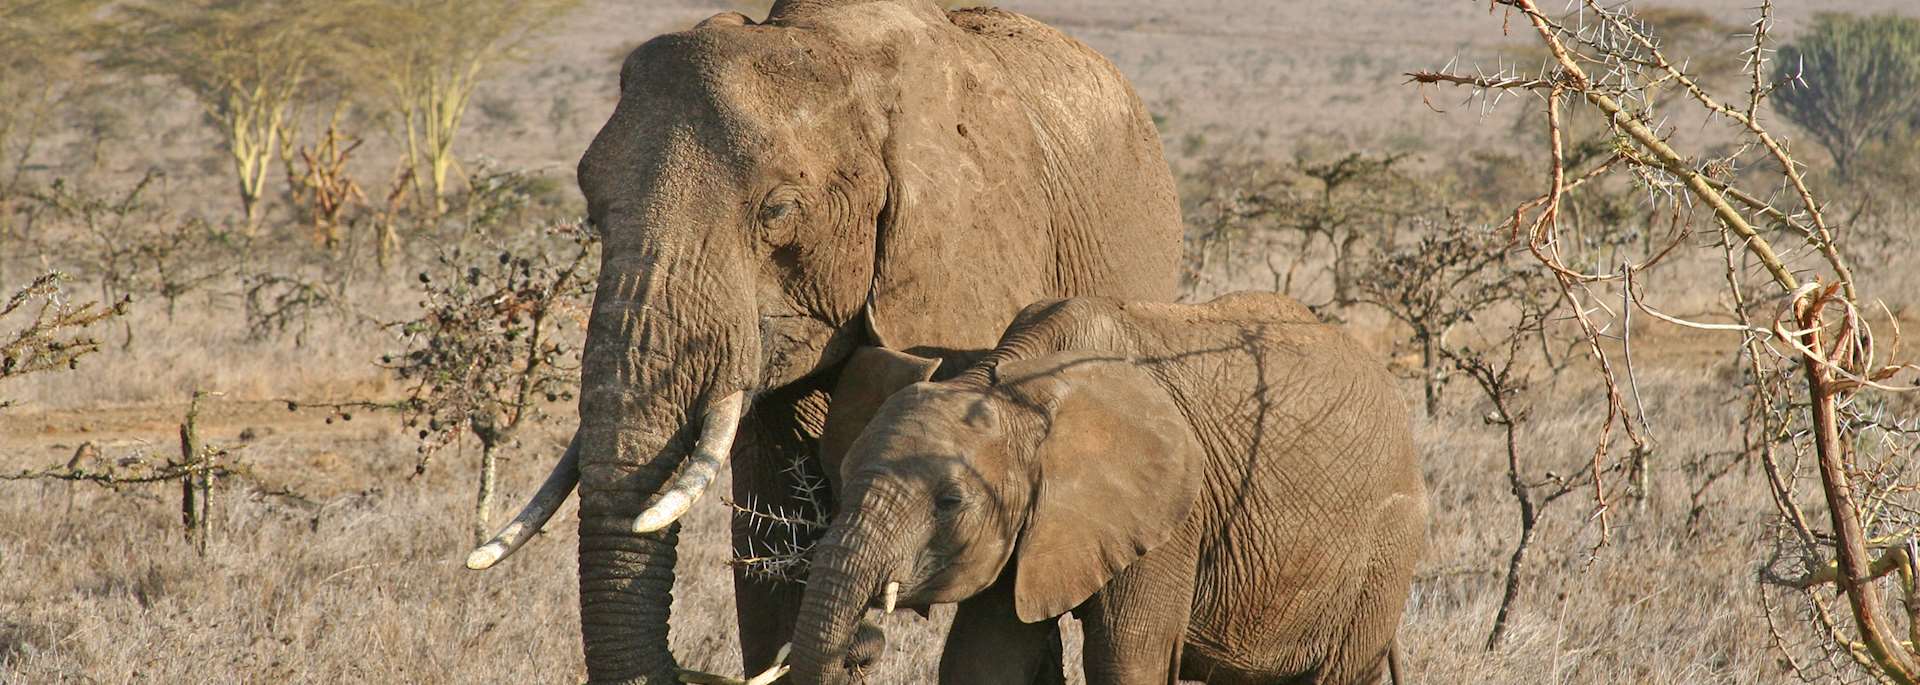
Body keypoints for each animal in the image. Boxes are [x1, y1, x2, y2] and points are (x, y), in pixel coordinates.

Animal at [791, 293, 1428, 685]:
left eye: (950, 502)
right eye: (841, 479)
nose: (863, 651)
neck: (1016, 382)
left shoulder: (1174, 516)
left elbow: (1126, 658)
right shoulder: (1030, 518)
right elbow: (984, 657)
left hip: (1385, 548)